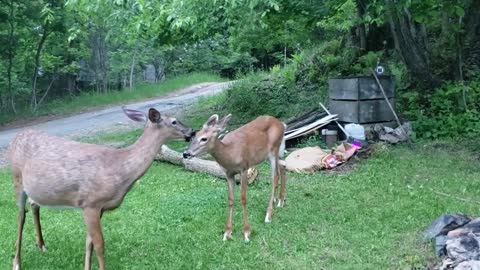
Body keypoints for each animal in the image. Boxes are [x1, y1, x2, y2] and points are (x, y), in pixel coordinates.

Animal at [7, 107, 195, 270]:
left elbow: (88, 243)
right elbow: (99, 244)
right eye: (174, 121)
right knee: (20, 215)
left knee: (34, 205)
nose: (192, 131)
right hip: (17, 178)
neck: (120, 169)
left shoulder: (99, 207)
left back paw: (42, 245)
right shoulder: (91, 203)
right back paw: (16, 262)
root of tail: (16, 137)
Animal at [183, 113, 286, 242]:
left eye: (204, 139)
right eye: (194, 136)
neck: (230, 154)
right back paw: (280, 200)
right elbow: (231, 199)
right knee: (283, 166)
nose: (185, 153)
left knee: (275, 177)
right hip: (272, 153)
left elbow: (243, 198)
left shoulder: (244, 168)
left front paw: (246, 232)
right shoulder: (228, 174)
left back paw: (268, 214)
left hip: (274, 149)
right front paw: (227, 232)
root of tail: (281, 124)